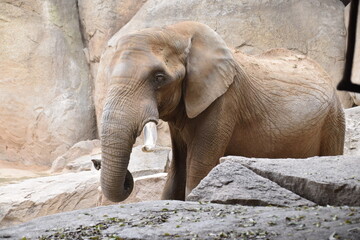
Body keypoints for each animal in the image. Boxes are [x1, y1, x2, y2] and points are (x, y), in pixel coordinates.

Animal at [97, 20, 344, 202]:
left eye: (159, 78)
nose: (129, 179)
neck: (175, 31)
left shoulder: (224, 101)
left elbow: (198, 167)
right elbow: (177, 171)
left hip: (334, 120)